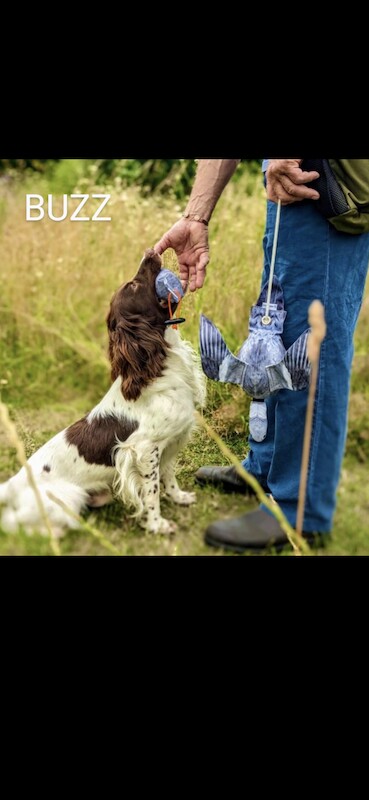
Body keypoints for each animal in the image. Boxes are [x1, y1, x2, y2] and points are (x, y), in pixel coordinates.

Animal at [0, 250, 207, 536]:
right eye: (133, 286)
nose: (150, 251)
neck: (158, 368)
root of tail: (10, 486)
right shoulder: (144, 450)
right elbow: (152, 492)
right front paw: (157, 524)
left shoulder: (168, 443)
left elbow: (168, 475)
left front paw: (179, 498)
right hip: (68, 498)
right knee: (19, 525)